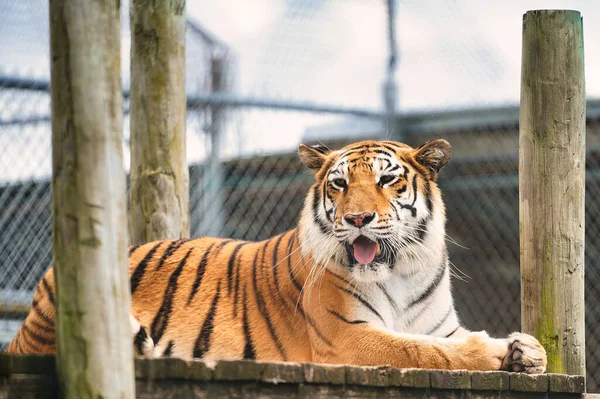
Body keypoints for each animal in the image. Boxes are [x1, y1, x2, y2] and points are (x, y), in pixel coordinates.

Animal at [5, 139, 548, 374]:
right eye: (339, 184)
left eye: (388, 180)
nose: (358, 219)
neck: (400, 272)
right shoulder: (347, 338)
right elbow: (420, 351)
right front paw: (497, 352)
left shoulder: (438, 324)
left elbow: (435, 341)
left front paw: (530, 350)